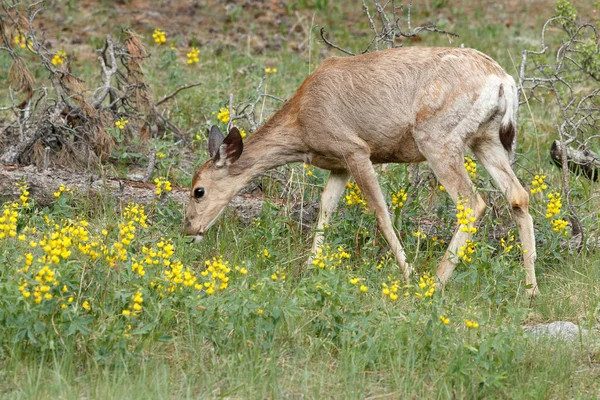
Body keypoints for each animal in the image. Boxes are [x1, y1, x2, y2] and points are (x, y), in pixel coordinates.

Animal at [184, 46, 540, 296]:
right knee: (518, 195)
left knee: (472, 202)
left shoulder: (355, 148)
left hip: (438, 137)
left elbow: (380, 212)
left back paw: (434, 283)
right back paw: (531, 289)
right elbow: (326, 208)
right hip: (486, 139)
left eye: (198, 190)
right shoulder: (338, 163)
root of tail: (504, 82)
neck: (301, 127)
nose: (189, 230)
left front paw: (408, 274)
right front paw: (310, 268)